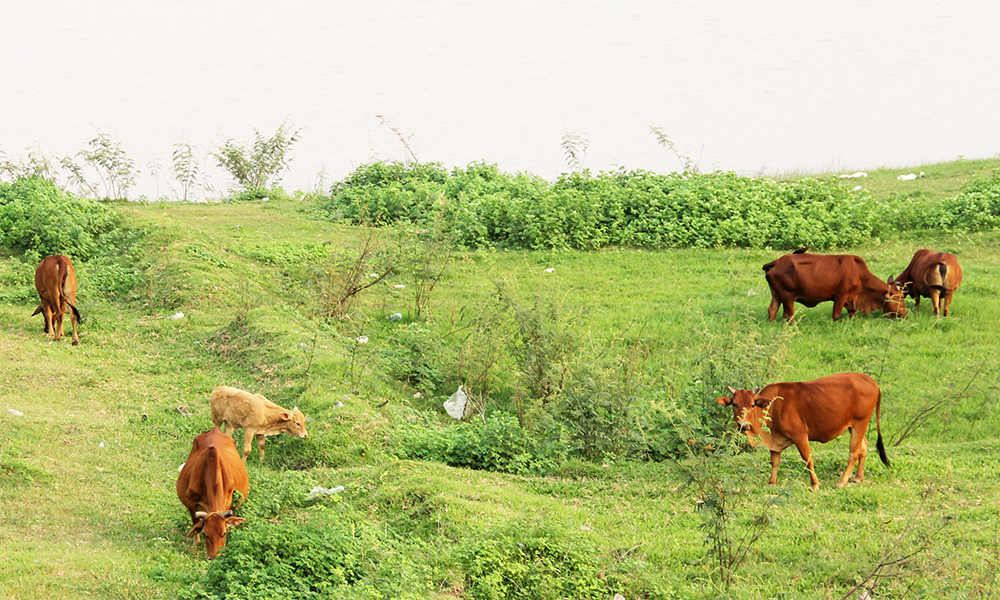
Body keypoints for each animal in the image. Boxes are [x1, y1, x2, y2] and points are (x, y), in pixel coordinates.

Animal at [175, 426, 249, 556]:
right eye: (205, 533)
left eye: (224, 533)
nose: (214, 557)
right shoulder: (190, 503)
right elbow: (195, 522)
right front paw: (197, 543)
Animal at [716, 372, 888, 490]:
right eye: (734, 404)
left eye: (752, 404)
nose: (743, 425)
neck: (772, 406)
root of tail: (871, 381)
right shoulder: (775, 439)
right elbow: (775, 461)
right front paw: (772, 482)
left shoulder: (799, 434)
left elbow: (807, 459)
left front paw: (815, 484)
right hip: (854, 425)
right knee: (864, 446)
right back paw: (858, 477)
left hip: (860, 422)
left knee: (854, 452)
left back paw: (841, 482)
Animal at [764, 251, 908, 322]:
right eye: (901, 297)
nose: (906, 315)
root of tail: (776, 262)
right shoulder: (841, 295)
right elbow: (836, 314)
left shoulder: (851, 299)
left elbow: (852, 314)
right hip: (788, 297)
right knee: (788, 315)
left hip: (777, 295)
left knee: (772, 311)